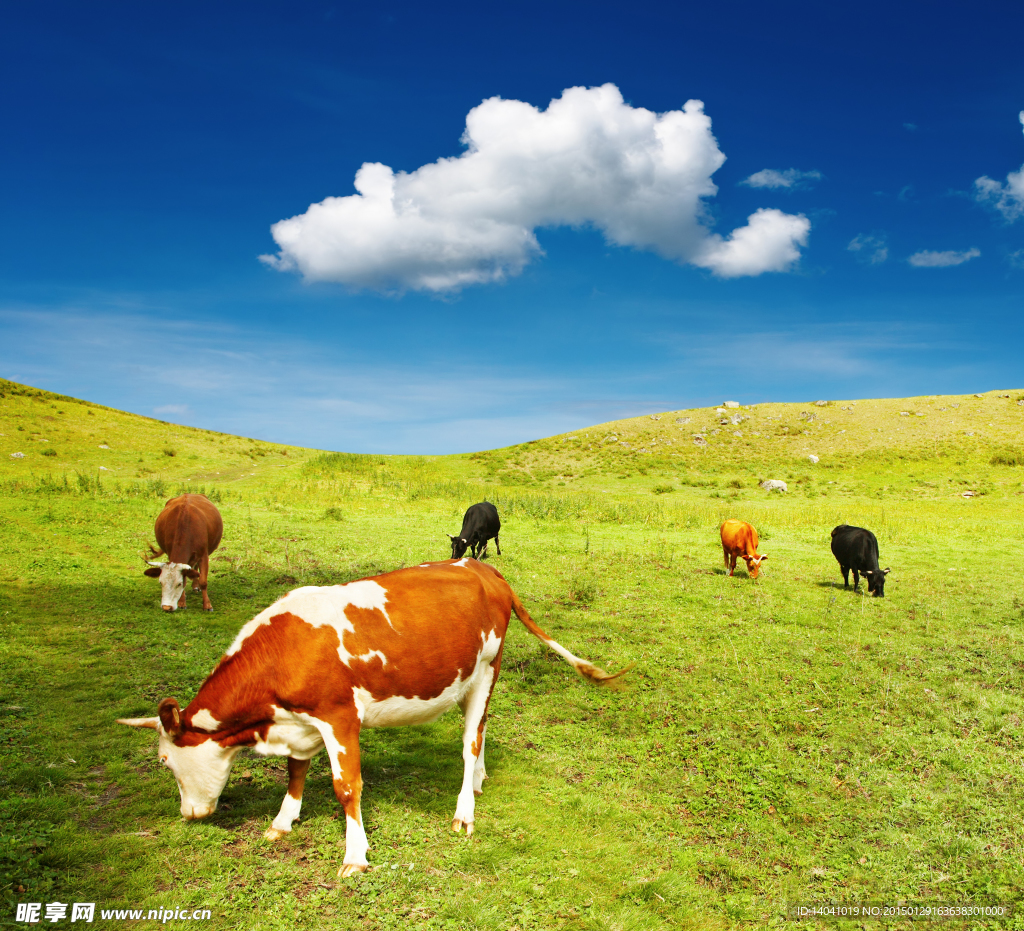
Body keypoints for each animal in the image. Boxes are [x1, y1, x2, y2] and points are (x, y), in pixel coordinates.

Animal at [119, 561, 630, 872]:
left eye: (165, 761)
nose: (189, 814)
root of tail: (484, 568)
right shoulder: (301, 722)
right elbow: (295, 772)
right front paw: (282, 822)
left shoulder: (339, 717)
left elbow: (347, 788)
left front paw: (355, 855)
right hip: (469, 679)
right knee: (482, 727)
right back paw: (480, 779)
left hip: (489, 667)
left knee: (470, 741)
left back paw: (465, 810)